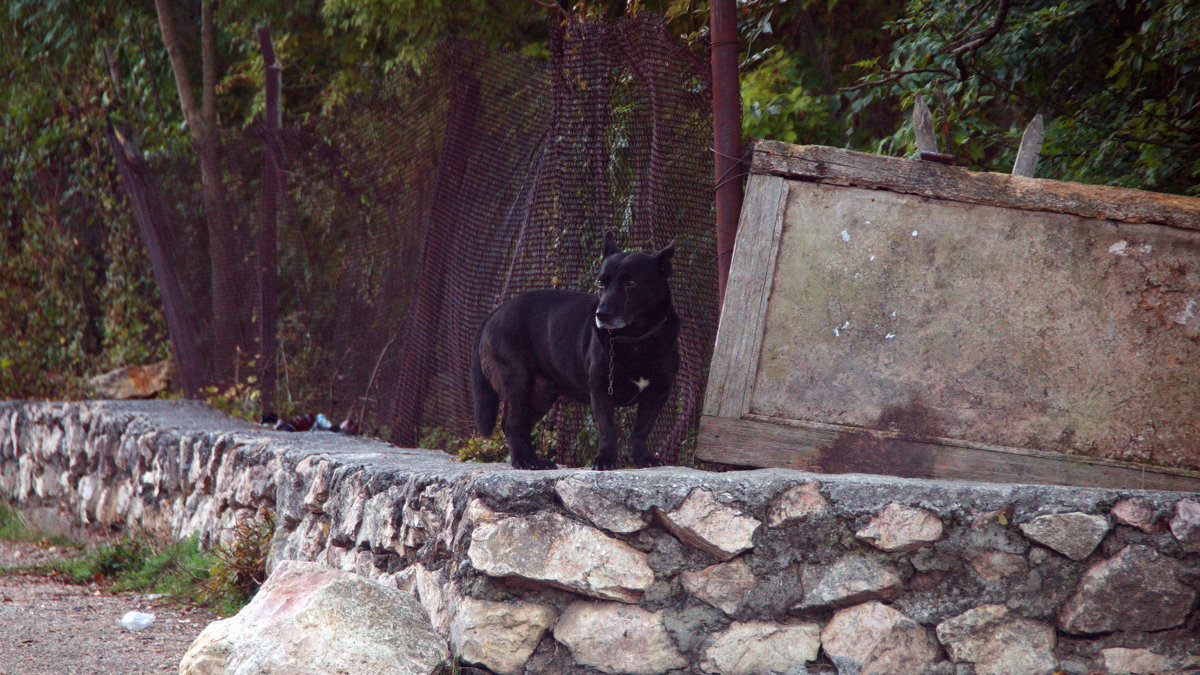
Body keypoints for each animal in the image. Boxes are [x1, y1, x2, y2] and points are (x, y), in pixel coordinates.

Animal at [470, 230, 681, 468]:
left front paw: (642, 459)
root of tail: (496, 311)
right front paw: (604, 461)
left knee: (522, 426)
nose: (601, 314)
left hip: (541, 395)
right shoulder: (600, 390)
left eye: (631, 282)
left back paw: (536, 461)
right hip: (516, 383)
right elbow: (608, 429)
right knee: (511, 424)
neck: (636, 340)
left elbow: (641, 430)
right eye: (601, 283)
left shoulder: (657, 391)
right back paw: (523, 461)